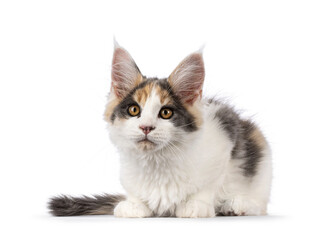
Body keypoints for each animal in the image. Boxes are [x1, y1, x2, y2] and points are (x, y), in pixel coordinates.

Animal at [48, 42, 272, 218]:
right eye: (134, 110)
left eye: (165, 113)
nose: (146, 126)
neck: (156, 163)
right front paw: (133, 205)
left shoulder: (224, 137)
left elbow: (210, 184)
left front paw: (196, 204)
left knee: (260, 205)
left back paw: (237, 204)